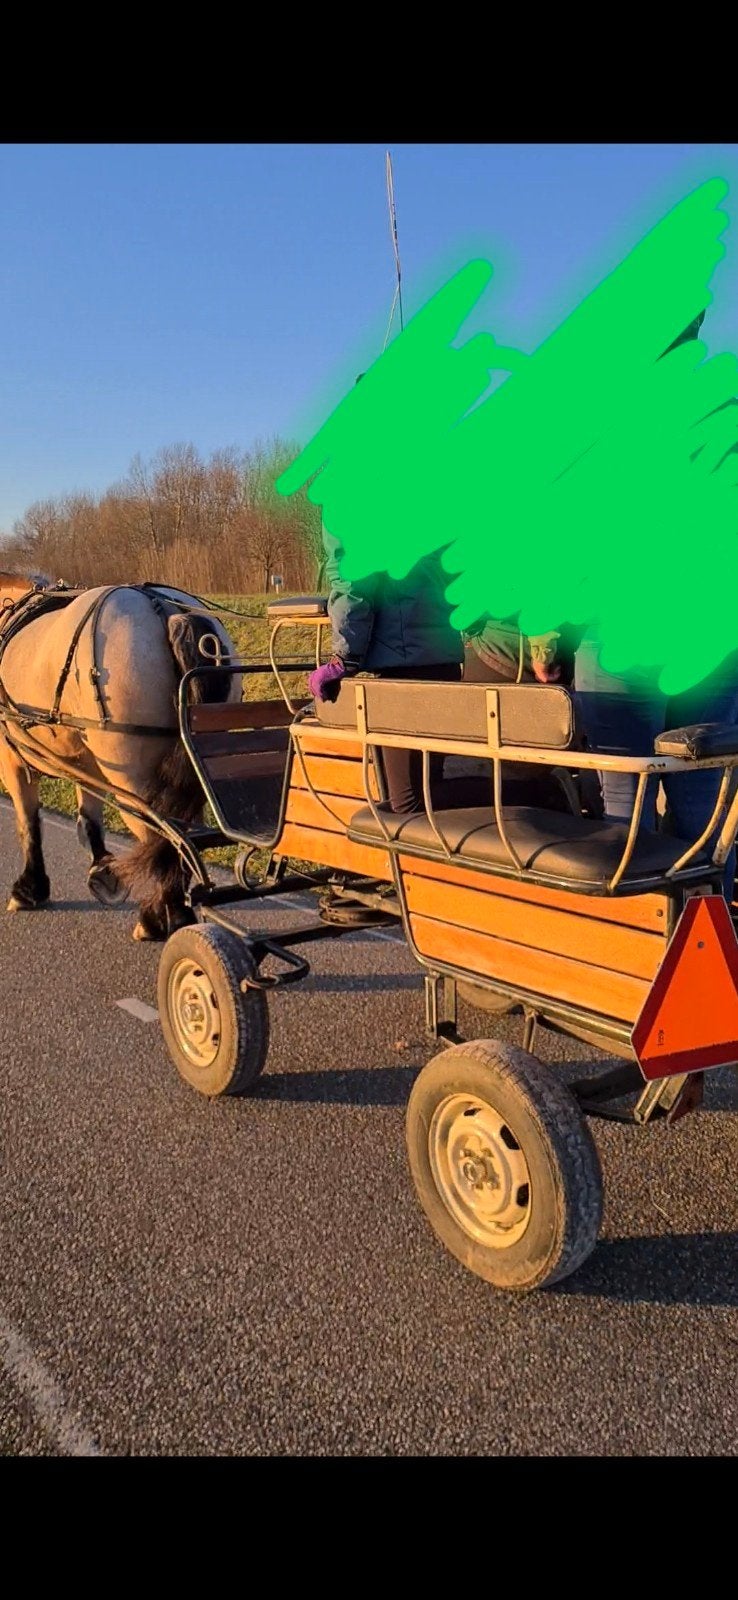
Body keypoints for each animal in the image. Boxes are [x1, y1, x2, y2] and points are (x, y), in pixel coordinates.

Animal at [0, 570, 239, 939]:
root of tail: (168, 610)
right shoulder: (84, 761)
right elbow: (89, 815)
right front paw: (103, 870)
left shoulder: (11, 760)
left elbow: (28, 822)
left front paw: (29, 888)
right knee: (185, 835)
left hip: (133, 780)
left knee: (164, 836)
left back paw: (161, 918)